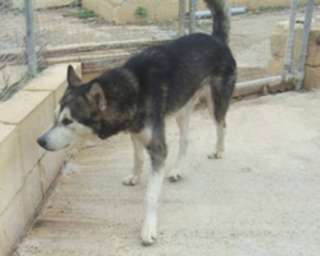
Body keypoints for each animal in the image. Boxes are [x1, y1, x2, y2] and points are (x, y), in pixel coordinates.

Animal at [38, 0, 238, 246]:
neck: (132, 90)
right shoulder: (135, 132)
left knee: (222, 125)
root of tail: (216, 39)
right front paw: (135, 175)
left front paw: (148, 227)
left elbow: (150, 195)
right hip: (182, 110)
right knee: (186, 139)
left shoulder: (158, 148)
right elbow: (137, 157)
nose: (40, 141)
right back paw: (177, 169)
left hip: (215, 103)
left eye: (68, 121)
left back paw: (218, 150)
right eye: (55, 117)